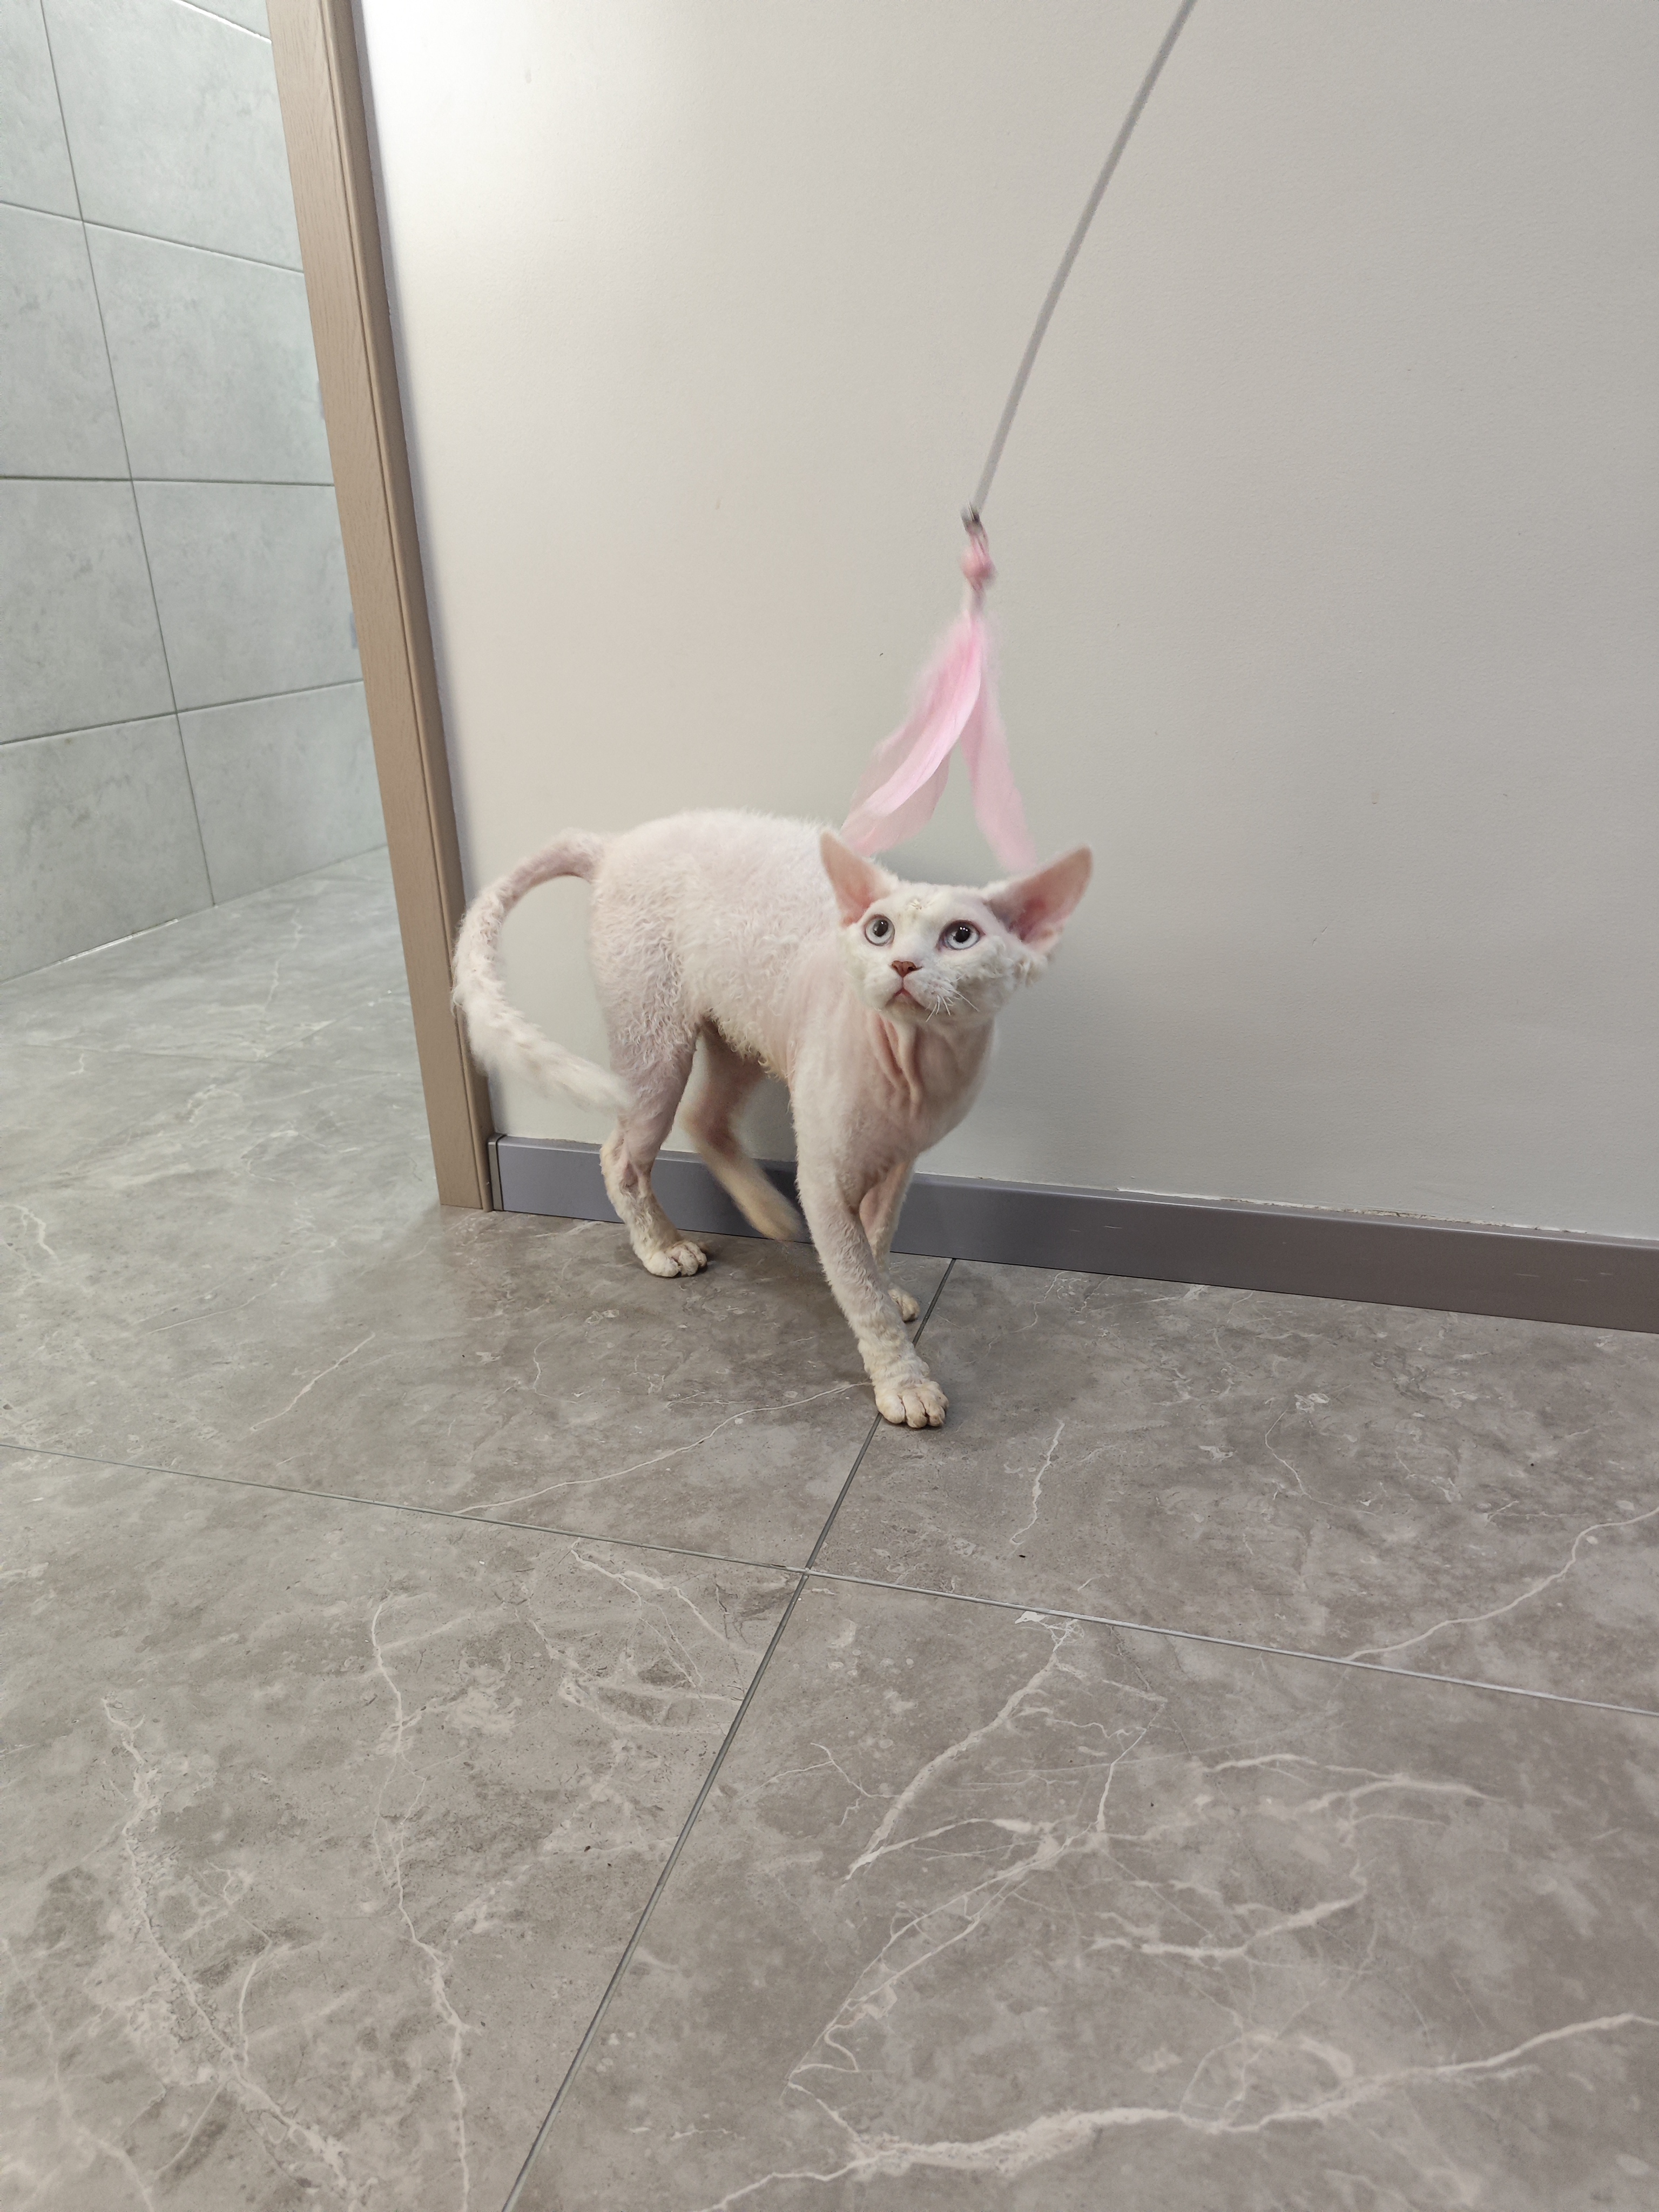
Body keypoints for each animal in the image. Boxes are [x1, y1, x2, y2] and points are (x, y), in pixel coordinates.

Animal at [453, 811, 1090, 1428]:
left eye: (962, 936)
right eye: (879, 929)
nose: (903, 964)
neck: (913, 1067)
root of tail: (617, 844)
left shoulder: (902, 1161)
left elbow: (879, 1239)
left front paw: (886, 1285)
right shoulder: (826, 1181)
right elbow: (859, 1287)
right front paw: (904, 1382)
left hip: (743, 1024)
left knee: (704, 1117)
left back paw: (767, 1213)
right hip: (655, 1040)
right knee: (621, 1154)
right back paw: (663, 1247)